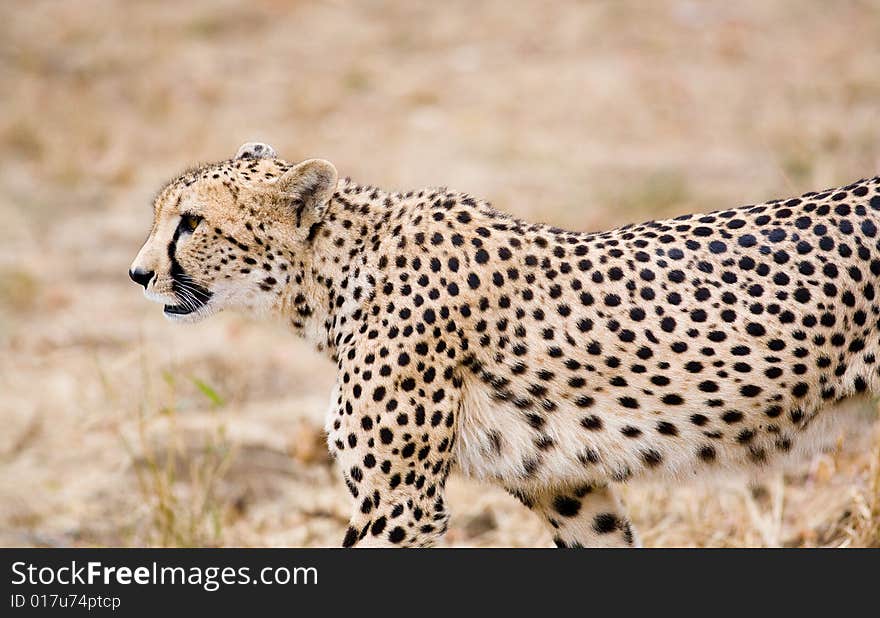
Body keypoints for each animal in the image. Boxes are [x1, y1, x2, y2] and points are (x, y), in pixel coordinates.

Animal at [131, 143, 880, 544]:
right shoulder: (566, 487)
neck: (337, 276)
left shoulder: (398, 503)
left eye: (191, 222)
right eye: (161, 215)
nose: (138, 274)